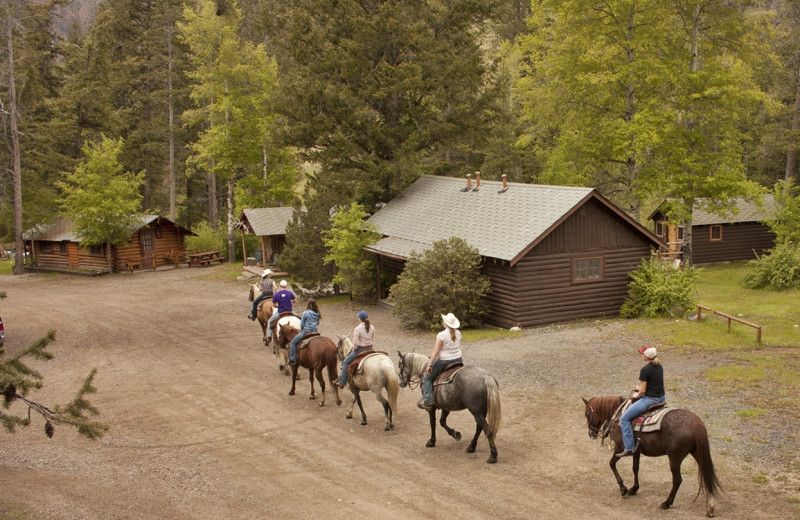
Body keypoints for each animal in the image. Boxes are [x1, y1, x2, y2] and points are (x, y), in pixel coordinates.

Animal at [580, 396, 724, 512]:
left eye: (587, 413)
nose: (591, 434)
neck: (620, 415)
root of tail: (695, 423)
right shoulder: (636, 451)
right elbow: (635, 468)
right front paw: (633, 489)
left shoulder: (620, 448)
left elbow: (611, 464)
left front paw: (623, 488)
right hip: (698, 453)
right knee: (706, 475)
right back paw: (710, 507)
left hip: (674, 458)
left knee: (678, 480)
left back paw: (666, 503)